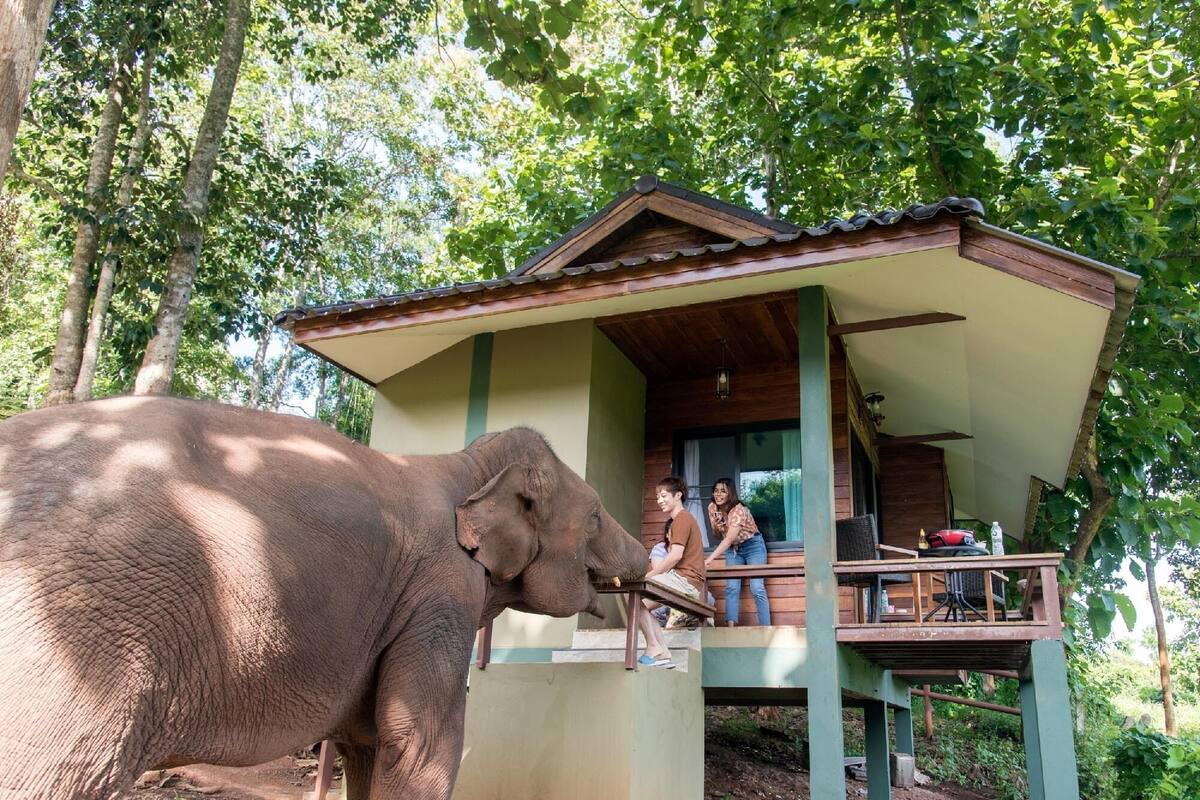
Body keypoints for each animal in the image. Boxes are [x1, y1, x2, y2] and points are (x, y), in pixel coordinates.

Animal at [0, 395, 648, 799]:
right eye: (595, 517)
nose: (646, 561)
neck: (469, 463)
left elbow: (368, 741)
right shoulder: (441, 591)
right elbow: (420, 743)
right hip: (80, 648)